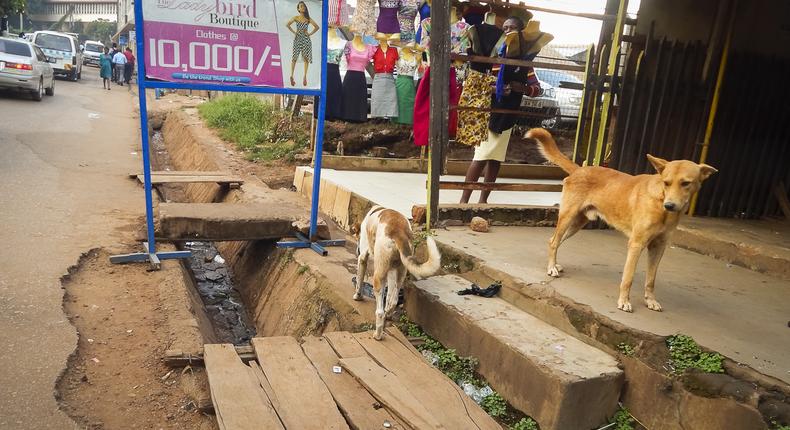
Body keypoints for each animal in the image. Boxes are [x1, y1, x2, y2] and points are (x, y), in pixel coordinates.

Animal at [356, 205, 442, 340]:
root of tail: (399, 232)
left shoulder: (363, 258)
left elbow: (359, 280)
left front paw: (357, 296)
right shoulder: (392, 271)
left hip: (379, 274)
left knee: (380, 311)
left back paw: (378, 334)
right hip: (400, 272)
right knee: (393, 301)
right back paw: (388, 314)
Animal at [528, 127, 720, 312]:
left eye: (686, 183)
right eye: (666, 182)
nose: (670, 205)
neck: (660, 202)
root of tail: (580, 168)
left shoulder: (658, 246)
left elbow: (651, 279)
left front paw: (650, 300)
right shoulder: (636, 244)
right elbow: (628, 278)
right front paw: (624, 302)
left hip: (577, 223)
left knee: (553, 240)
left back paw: (555, 264)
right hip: (568, 217)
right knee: (554, 241)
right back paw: (551, 267)